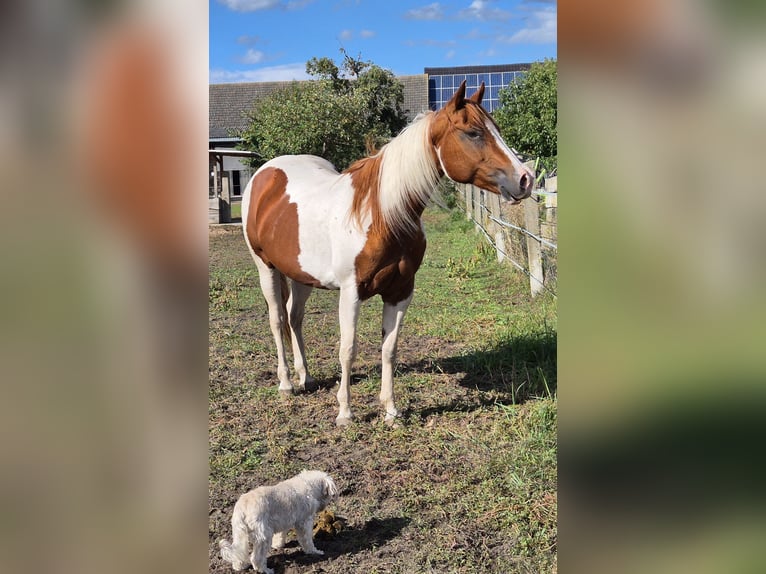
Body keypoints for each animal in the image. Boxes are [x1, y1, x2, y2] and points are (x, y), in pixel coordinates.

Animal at [241, 81, 534, 426]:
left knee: (294, 317)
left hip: (301, 275)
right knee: (277, 320)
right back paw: (286, 383)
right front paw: (345, 412)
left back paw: (307, 377)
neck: (381, 215)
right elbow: (348, 349)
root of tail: (265, 174)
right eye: (473, 132)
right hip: (266, 267)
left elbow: (389, 349)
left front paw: (391, 410)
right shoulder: (350, 292)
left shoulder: (400, 291)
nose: (525, 179)